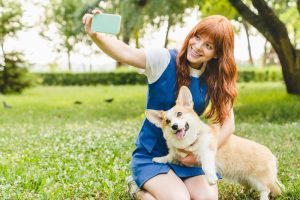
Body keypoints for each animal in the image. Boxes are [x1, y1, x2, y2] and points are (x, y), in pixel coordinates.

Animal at [145, 86, 284, 200]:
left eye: (179, 114)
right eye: (167, 121)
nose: (174, 126)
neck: (190, 140)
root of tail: (272, 157)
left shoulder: (207, 151)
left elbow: (206, 165)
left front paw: (211, 178)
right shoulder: (177, 156)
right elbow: (169, 156)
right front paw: (159, 159)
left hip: (259, 181)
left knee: (266, 190)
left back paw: (262, 197)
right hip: (244, 178)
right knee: (251, 186)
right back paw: (242, 193)